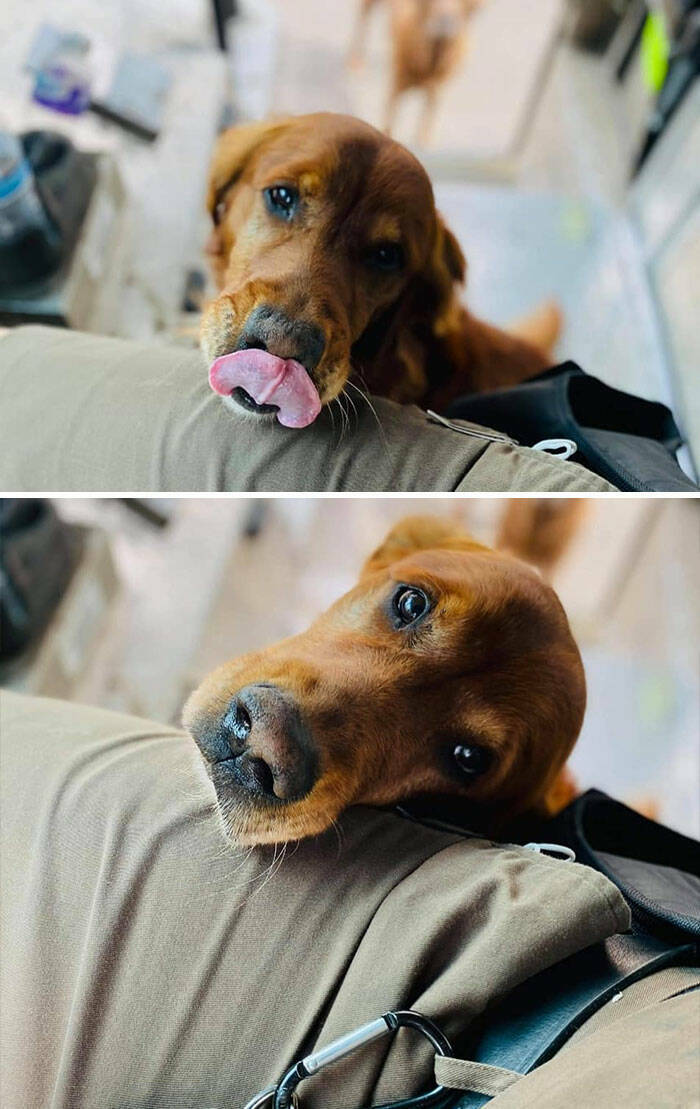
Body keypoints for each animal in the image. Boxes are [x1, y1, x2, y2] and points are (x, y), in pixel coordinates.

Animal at [352, 0, 483, 144]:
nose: (445, 22)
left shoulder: (436, 93)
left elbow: (424, 131)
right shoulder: (396, 87)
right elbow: (389, 125)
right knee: (362, 21)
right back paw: (354, 62)